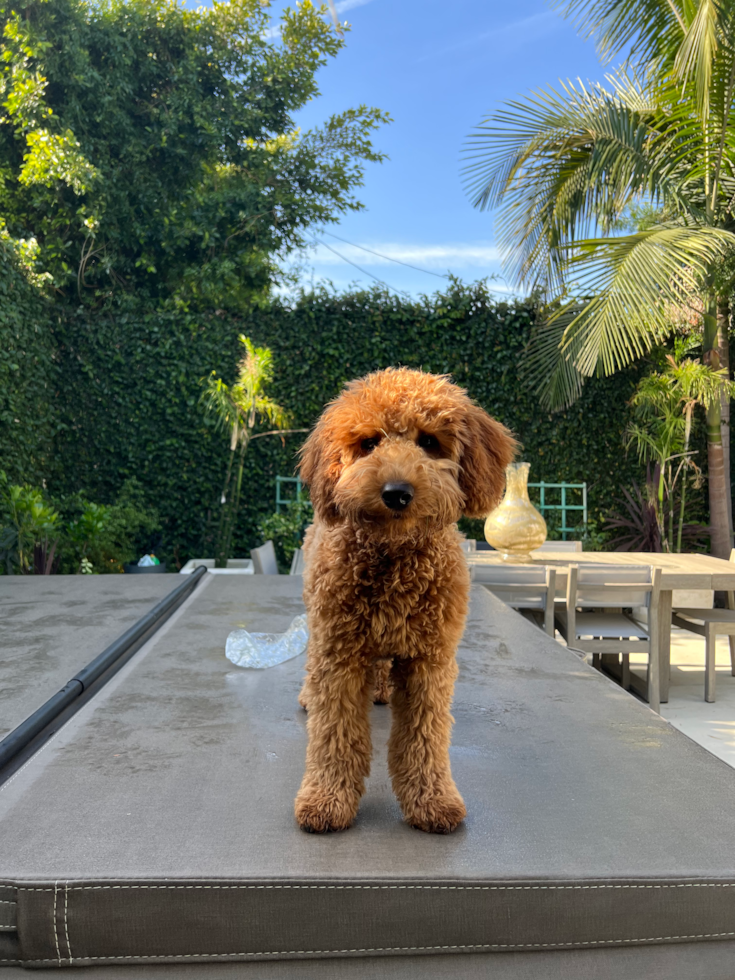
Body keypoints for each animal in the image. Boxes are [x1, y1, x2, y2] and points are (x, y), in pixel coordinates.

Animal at [294, 368, 516, 836]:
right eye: (368, 443)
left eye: (429, 441)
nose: (396, 491)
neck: (393, 560)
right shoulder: (338, 653)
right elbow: (334, 733)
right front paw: (327, 798)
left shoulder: (429, 661)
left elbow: (424, 736)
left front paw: (432, 799)